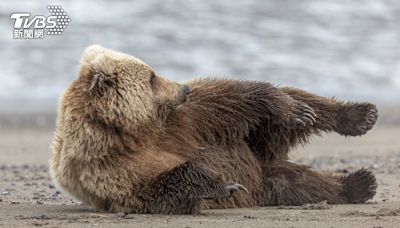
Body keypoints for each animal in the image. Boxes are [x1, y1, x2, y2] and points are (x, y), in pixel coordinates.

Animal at [50, 45, 378, 214]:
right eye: (152, 77)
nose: (183, 88)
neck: (131, 130)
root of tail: (261, 168)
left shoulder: (179, 122)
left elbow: (226, 101)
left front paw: (293, 110)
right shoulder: (107, 169)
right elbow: (158, 190)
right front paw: (223, 185)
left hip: (256, 145)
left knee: (292, 103)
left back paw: (356, 116)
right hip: (266, 179)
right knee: (298, 184)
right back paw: (360, 183)